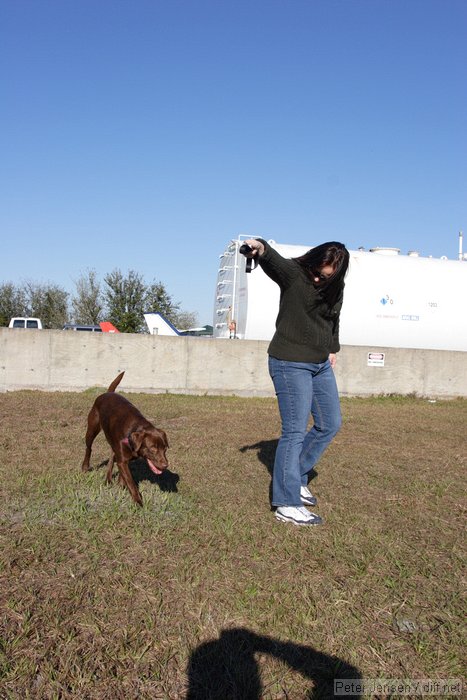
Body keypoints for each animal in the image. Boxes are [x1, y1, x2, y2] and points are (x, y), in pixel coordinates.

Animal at [82, 374, 170, 506]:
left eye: (165, 449)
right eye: (153, 448)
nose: (165, 466)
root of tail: (107, 393)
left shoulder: (123, 459)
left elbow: (123, 475)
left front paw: (121, 486)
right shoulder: (122, 460)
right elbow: (131, 482)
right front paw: (138, 502)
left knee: (112, 457)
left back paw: (108, 479)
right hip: (92, 429)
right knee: (89, 448)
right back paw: (85, 467)